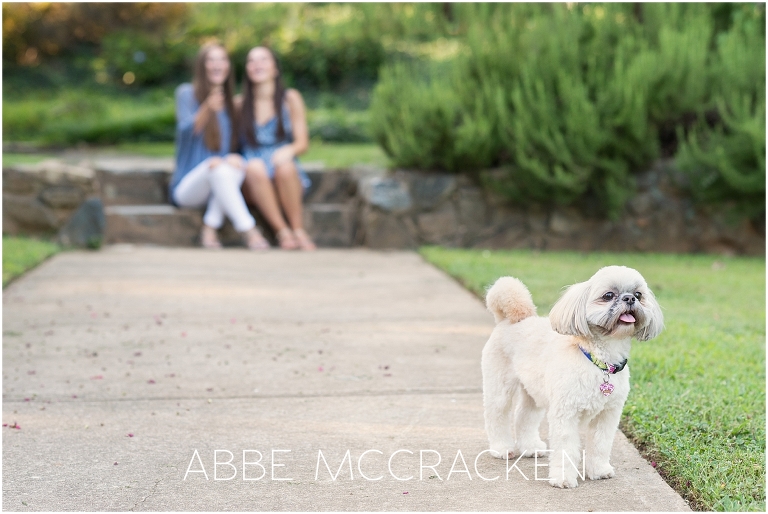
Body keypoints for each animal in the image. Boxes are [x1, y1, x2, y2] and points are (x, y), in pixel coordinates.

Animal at [484, 266, 664, 486]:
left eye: (639, 295)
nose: (630, 298)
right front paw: (563, 478)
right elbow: (566, 448)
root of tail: (513, 319)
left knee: (524, 416)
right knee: (497, 415)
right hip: (500, 386)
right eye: (608, 295)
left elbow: (600, 445)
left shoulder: (608, 415)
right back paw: (501, 448)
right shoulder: (566, 414)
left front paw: (599, 470)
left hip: (534, 391)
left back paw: (531, 447)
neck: (600, 361)